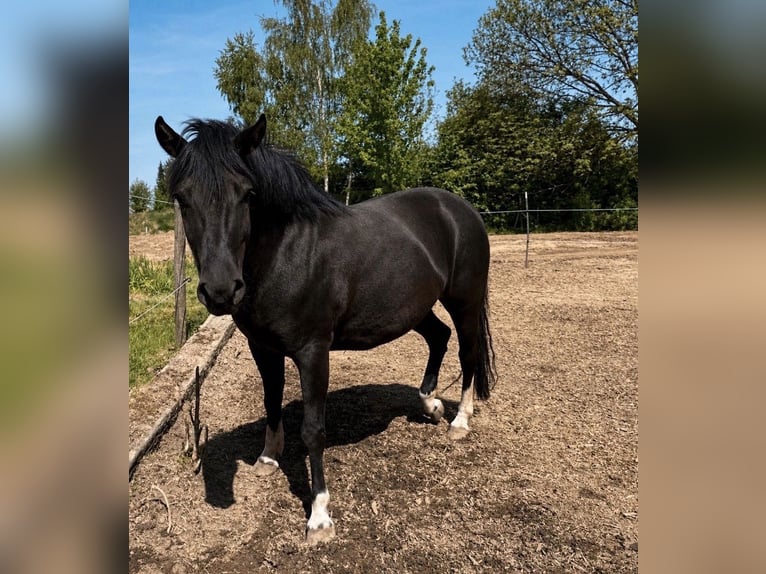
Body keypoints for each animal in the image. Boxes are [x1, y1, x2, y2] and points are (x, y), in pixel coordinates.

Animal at [154, 114, 496, 544]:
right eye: (182, 197)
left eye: (248, 194)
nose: (220, 292)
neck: (287, 254)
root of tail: (460, 208)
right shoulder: (262, 347)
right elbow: (271, 400)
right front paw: (267, 458)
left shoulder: (312, 352)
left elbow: (314, 429)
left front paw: (319, 517)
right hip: (416, 308)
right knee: (439, 338)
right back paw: (430, 405)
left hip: (464, 301)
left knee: (468, 353)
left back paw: (459, 422)